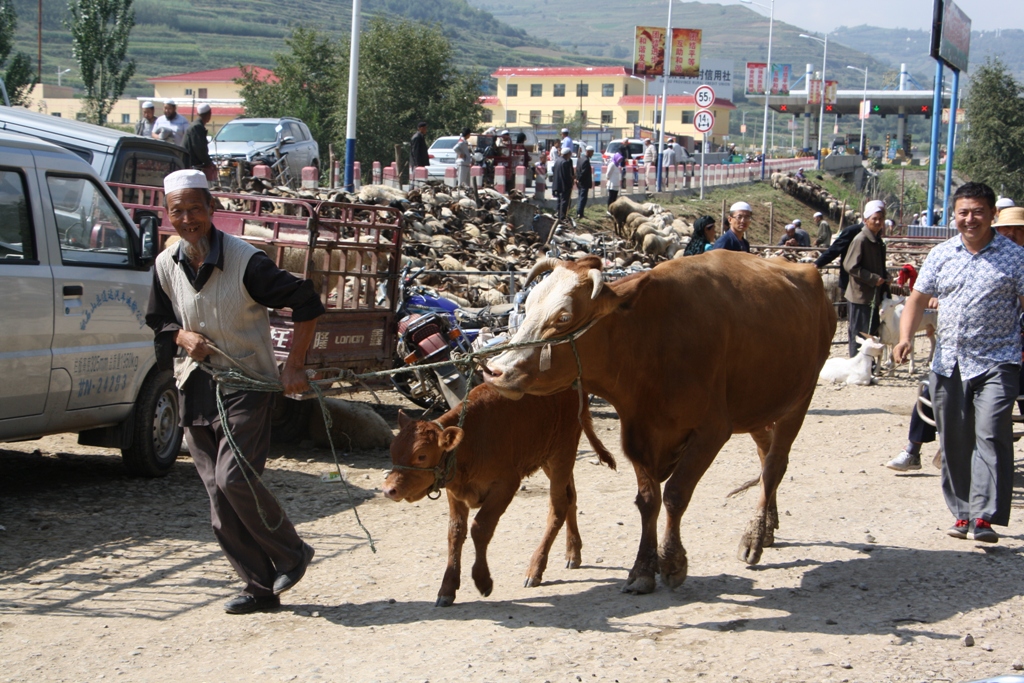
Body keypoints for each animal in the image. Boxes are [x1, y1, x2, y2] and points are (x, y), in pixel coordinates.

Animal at [382, 385, 606, 610]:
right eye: (392, 450)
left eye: (421, 456)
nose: (388, 489)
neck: (470, 443)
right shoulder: (454, 491)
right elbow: (455, 532)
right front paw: (447, 588)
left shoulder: (506, 484)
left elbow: (480, 528)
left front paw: (483, 581)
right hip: (548, 458)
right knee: (570, 498)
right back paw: (573, 553)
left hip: (562, 453)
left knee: (558, 506)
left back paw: (535, 569)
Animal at [483, 253, 835, 593]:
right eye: (528, 307)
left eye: (563, 318)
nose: (496, 370)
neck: (650, 341)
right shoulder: (637, 433)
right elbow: (648, 501)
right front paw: (642, 569)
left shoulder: (711, 431)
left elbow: (676, 494)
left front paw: (673, 562)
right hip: (753, 407)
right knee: (766, 453)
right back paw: (768, 527)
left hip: (800, 398)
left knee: (774, 464)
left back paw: (754, 538)